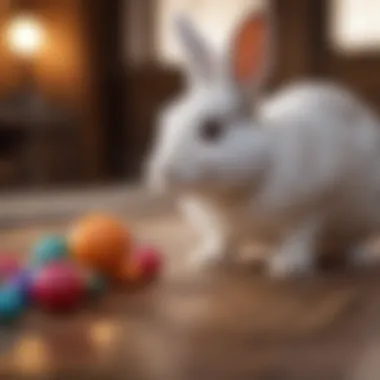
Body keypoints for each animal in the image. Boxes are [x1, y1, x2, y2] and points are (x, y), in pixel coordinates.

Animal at [145, 8, 380, 276]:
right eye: (166, 119)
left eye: (212, 130)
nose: (162, 172)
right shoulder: (219, 229)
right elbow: (221, 240)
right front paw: (208, 259)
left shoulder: (314, 203)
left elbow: (301, 235)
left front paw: (288, 266)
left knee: (357, 239)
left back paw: (359, 258)